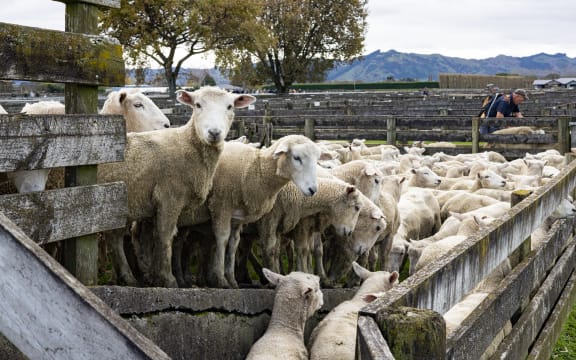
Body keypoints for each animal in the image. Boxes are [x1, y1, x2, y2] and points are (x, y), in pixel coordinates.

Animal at [98, 87, 255, 286]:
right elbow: (165, 236)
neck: (186, 144)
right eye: (197, 105)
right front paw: (167, 278)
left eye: (230, 106)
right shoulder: (169, 197)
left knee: (115, 237)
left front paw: (156, 275)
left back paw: (128, 277)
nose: (214, 132)